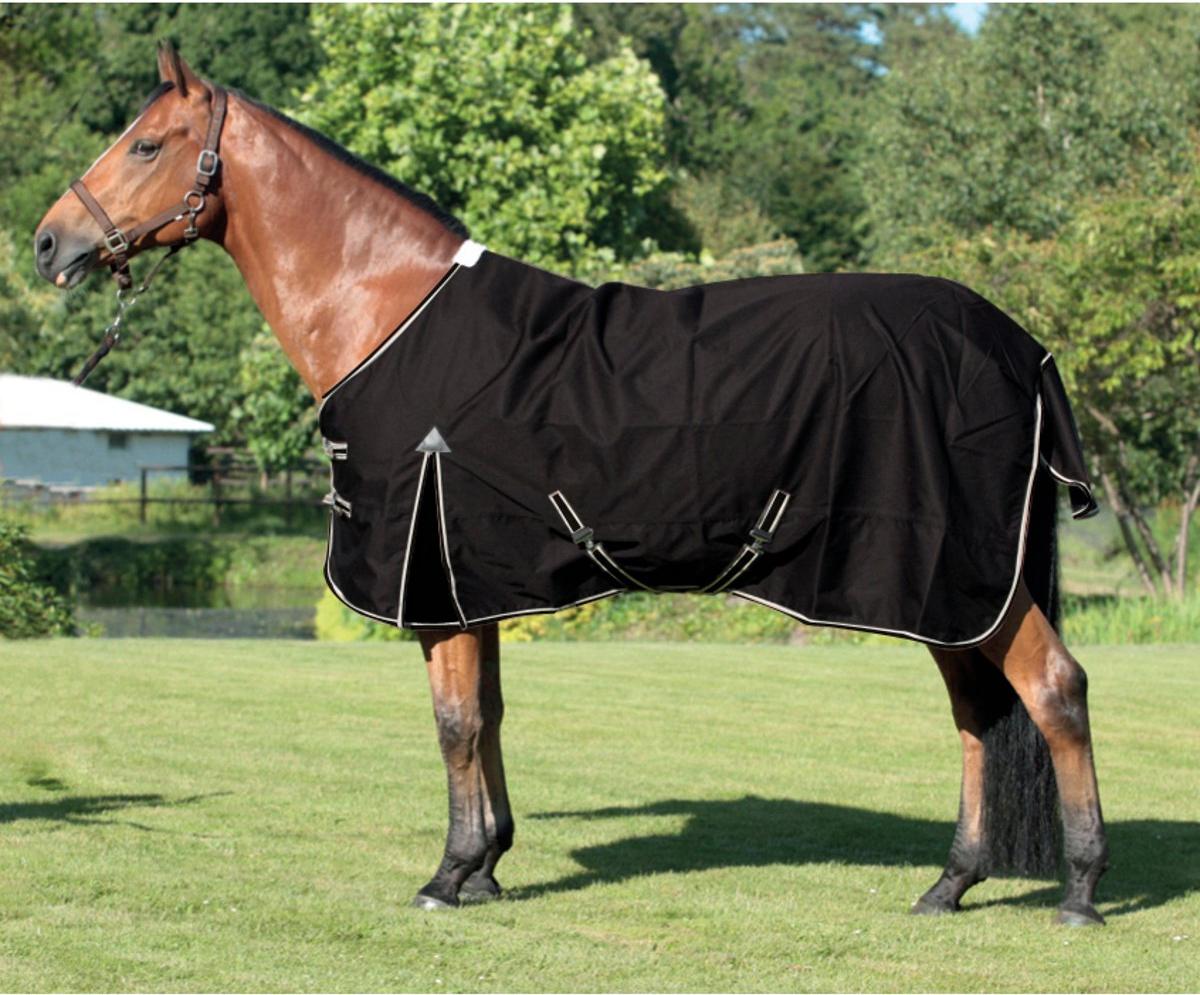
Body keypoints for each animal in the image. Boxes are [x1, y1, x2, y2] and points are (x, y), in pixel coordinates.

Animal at [34, 44, 1109, 926]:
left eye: (147, 144)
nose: (49, 242)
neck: (388, 313)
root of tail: (1018, 346)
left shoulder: (436, 579)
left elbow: (454, 722)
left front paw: (448, 874)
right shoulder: (471, 581)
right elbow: (489, 716)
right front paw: (488, 864)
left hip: (956, 574)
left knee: (1053, 689)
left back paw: (1081, 890)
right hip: (947, 588)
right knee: (978, 711)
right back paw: (951, 882)